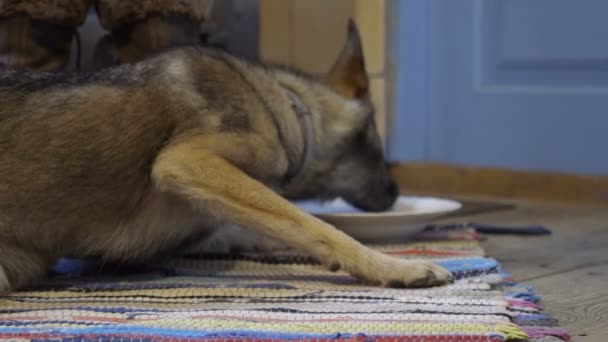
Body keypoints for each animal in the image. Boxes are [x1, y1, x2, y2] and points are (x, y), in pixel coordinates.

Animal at [0, 20, 452, 292]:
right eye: (374, 136)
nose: (395, 194)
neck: (290, 107)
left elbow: (257, 226)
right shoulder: (187, 161)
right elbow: (310, 222)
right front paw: (391, 266)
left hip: (19, 267)